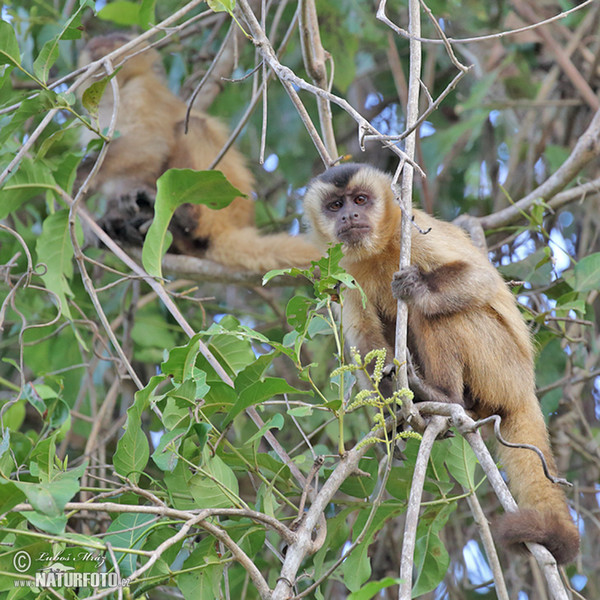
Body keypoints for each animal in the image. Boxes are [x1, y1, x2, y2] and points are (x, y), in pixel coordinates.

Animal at [77, 34, 322, 274]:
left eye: (118, 39)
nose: (95, 42)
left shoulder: (142, 90)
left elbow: (150, 143)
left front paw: (79, 181)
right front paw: (108, 217)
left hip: (228, 206)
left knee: (193, 127)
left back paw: (185, 220)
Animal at [304, 162, 580, 564]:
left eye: (361, 200)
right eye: (335, 205)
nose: (350, 216)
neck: (378, 249)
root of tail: (525, 388)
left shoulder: (414, 231)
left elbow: (480, 279)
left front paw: (419, 288)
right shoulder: (345, 267)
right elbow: (363, 338)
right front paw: (387, 403)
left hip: (503, 365)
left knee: (439, 314)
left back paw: (442, 394)